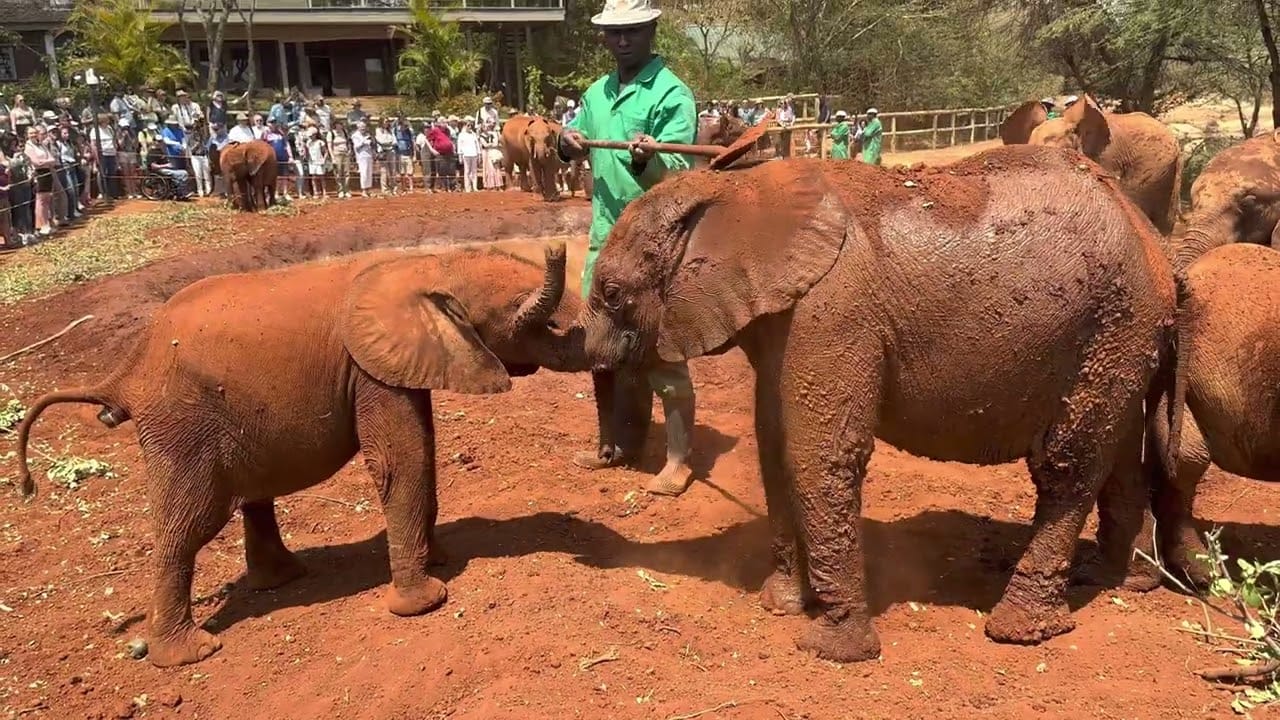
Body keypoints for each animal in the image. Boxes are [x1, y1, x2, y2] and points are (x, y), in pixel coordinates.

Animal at [14, 239, 589, 667]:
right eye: (534, 320)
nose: (557, 246)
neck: (427, 264)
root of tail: (127, 372)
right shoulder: (369, 370)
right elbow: (400, 460)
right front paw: (426, 601)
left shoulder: (394, 366)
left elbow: (421, 449)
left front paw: (440, 560)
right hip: (181, 424)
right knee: (187, 525)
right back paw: (190, 654)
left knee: (250, 498)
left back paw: (283, 579)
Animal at [577, 145, 1180, 662]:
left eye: (612, 293)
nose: (601, 460)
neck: (737, 189)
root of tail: (1153, 237)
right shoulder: (783, 323)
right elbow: (775, 447)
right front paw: (781, 604)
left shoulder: (834, 309)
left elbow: (820, 456)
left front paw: (831, 648)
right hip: (1122, 334)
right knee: (1119, 457)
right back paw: (1117, 580)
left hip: (1114, 321)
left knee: (1068, 467)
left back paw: (1018, 629)